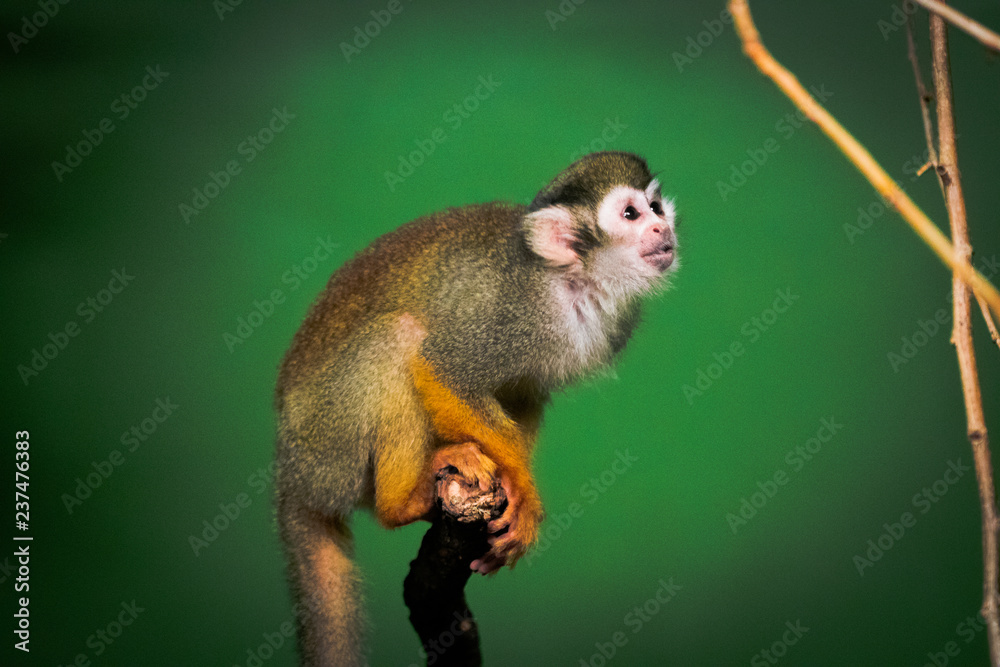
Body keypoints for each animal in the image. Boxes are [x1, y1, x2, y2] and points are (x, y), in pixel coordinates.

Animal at [274, 151, 678, 666]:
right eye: (631, 214)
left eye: (655, 207)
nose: (662, 229)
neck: (571, 280)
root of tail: (289, 471)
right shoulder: (513, 313)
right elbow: (442, 368)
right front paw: (525, 493)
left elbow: (523, 393)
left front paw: (517, 485)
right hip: (329, 443)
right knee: (396, 338)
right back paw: (402, 502)